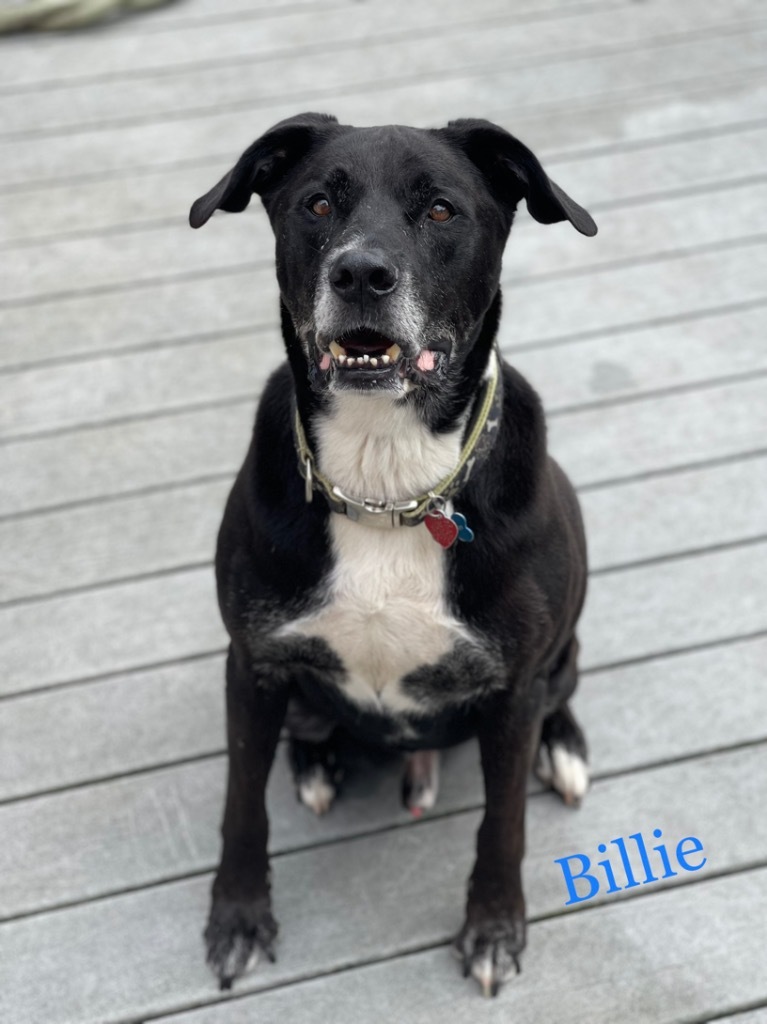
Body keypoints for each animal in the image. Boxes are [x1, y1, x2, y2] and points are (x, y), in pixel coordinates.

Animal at [188, 114, 593, 999]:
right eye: (316, 203)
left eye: (440, 210)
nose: (361, 273)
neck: (383, 484)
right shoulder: (252, 662)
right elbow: (240, 806)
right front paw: (237, 919)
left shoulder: (512, 690)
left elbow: (502, 825)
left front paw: (492, 929)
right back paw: (317, 759)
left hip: (561, 650)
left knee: (563, 687)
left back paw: (565, 748)